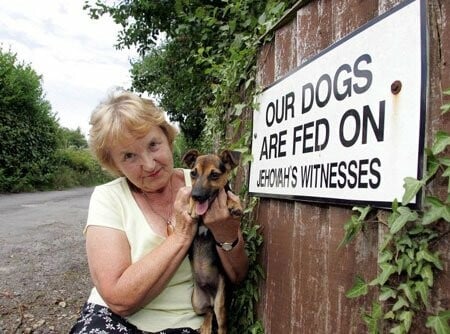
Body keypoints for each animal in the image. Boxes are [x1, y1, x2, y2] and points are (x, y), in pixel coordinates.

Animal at [182, 149, 243, 334]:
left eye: (214, 175)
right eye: (193, 173)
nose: (197, 196)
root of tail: (209, 295)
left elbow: (231, 196)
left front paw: (235, 205)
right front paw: (193, 206)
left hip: (220, 303)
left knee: (221, 323)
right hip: (196, 303)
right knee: (208, 311)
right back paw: (205, 327)